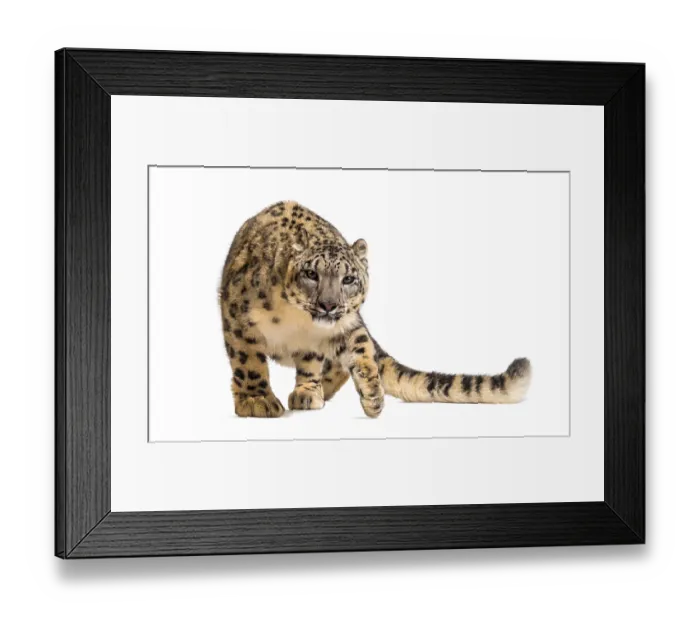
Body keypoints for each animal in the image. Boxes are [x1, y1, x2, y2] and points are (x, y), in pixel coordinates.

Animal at [219, 200, 532, 418]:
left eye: (348, 279)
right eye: (310, 274)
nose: (329, 305)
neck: (298, 322)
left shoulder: (348, 324)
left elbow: (363, 352)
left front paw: (373, 395)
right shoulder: (238, 319)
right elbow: (249, 362)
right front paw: (256, 401)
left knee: (319, 363)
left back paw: (310, 392)